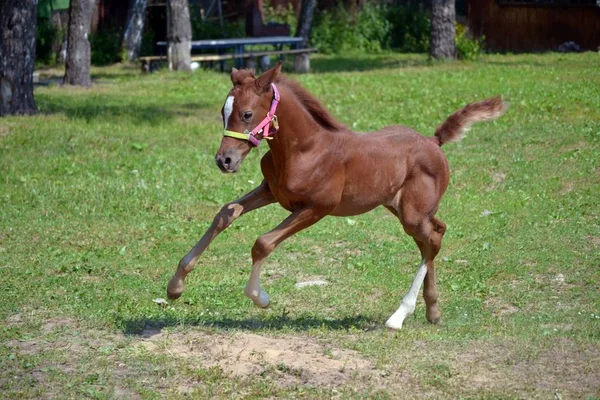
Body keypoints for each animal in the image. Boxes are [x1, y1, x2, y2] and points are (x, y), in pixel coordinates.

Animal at [166, 64, 504, 330]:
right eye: (223, 113)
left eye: (247, 113)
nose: (224, 160)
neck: (304, 149)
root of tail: (434, 142)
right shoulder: (271, 191)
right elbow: (226, 212)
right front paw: (175, 286)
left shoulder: (317, 208)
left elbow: (263, 243)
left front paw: (261, 298)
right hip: (403, 208)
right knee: (435, 234)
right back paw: (432, 311)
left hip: (411, 214)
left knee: (431, 241)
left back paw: (399, 316)